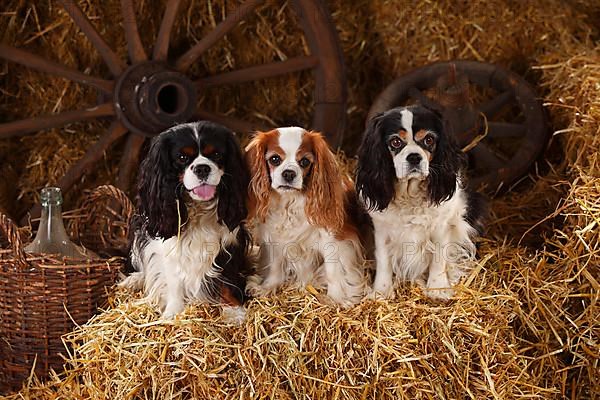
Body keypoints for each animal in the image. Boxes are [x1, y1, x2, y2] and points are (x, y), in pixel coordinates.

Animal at [122, 120, 248, 320]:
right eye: (182, 157)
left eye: (217, 154)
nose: (202, 168)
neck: (198, 207)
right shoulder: (167, 246)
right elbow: (173, 279)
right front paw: (173, 312)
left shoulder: (230, 242)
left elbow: (228, 279)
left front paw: (234, 311)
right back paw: (135, 279)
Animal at [244, 126, 366, 304]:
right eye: (274, 159)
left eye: (305, 162)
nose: (289, 173)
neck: (290, 203)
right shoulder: (275, 237)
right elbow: (275, 264)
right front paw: (267, 287)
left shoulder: (335, 240)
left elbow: (333, 270)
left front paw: (336, 298)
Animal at [358, 106, 486, 300]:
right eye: (395, 142)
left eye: (429, 139)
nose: (414, 157)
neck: (410, 195)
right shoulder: (382, 229)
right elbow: (383, 260)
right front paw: (381, 291)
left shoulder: (441, 226)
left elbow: (439, 259)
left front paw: (437, 288)